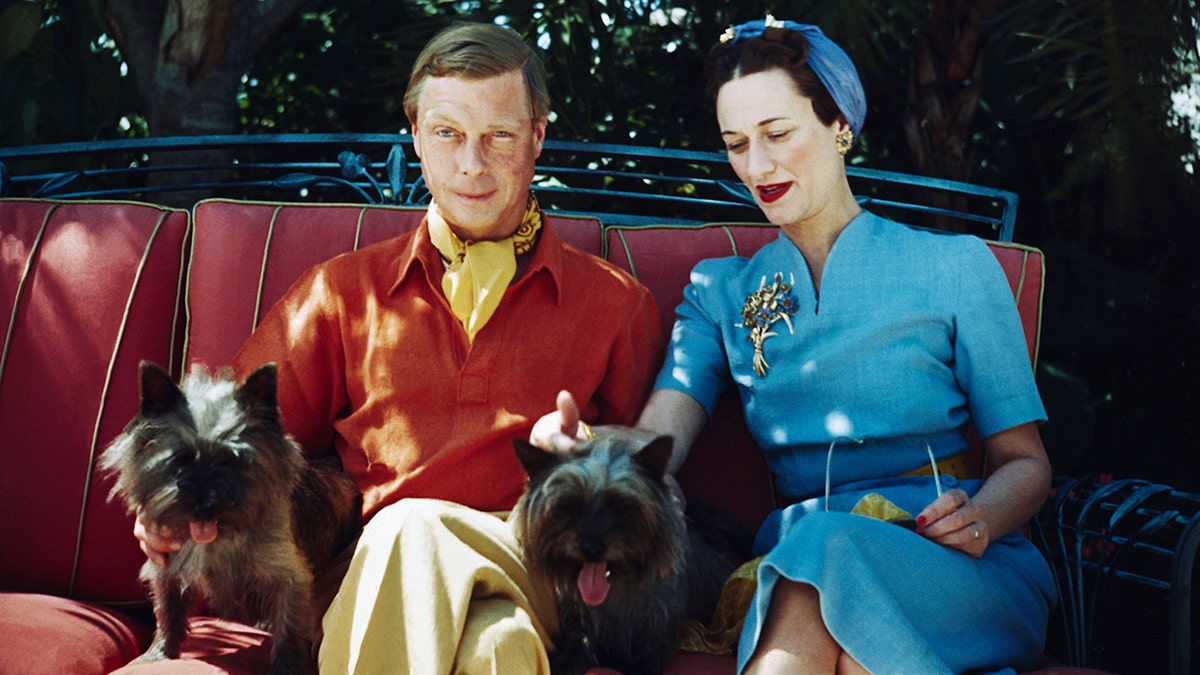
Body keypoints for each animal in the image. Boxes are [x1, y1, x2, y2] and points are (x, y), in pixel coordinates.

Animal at [101, 362, 360, 672]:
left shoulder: (291, 579)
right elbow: (168, 612)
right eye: (180, 460)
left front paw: (285, 668)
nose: (205, 506)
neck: (221, 537)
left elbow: (289, 629)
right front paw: (159, 653)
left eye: (232, 459)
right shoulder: (165, 568)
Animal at [511, 429, 734, 672]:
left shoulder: (654, 635)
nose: (592, 549)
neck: (612, 593)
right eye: (569, 506)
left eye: (621, 505)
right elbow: (579, 642)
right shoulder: (579, 622)